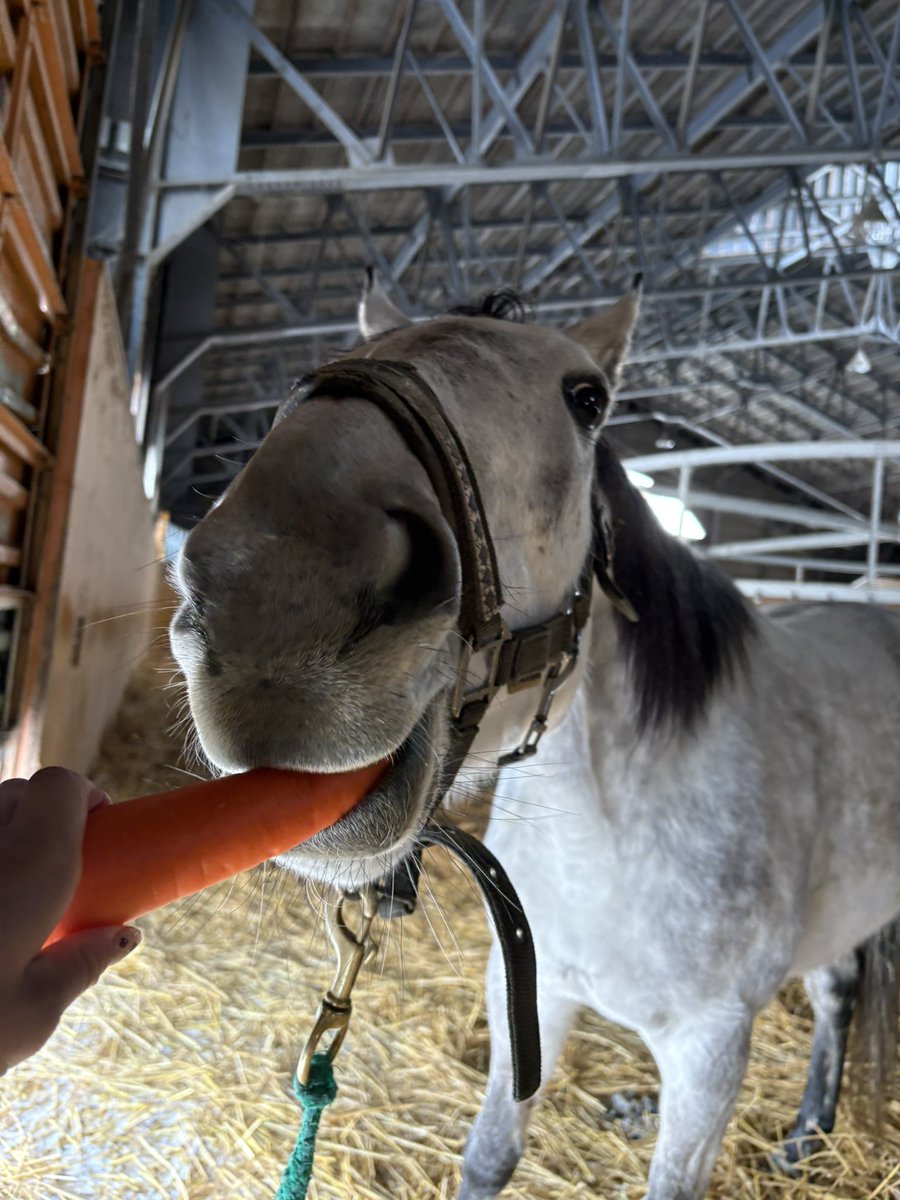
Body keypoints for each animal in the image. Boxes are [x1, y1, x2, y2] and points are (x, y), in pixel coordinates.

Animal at [170, 280, 900, 1199]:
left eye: (586, 399)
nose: (275, 593)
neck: (612, 840)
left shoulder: (711, 1049)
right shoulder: (529, 987)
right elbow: (490, 1155)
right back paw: (805, 1135)